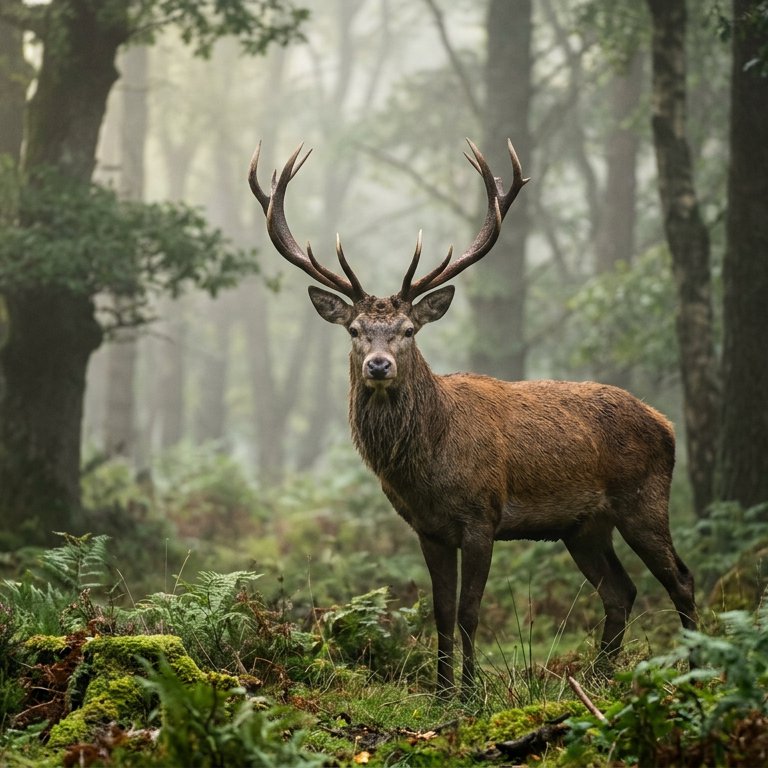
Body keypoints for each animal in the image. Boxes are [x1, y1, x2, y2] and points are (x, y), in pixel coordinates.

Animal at [247, 139, 697, 696]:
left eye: (408, 330)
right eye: (354, 330)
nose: (379, 365)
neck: (428, 466)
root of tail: (667, 424)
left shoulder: (483, 516)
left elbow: (469, 611)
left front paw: (469, 692)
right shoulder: (428, 529)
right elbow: (440, 611)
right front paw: (441, 692)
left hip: (644, 501)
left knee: (680, 578)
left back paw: (696, 664)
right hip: (584, 527)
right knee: (621, 591)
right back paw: (597, 677)